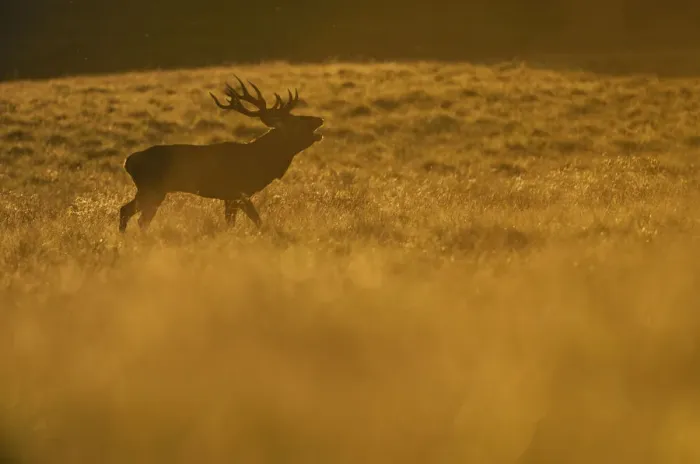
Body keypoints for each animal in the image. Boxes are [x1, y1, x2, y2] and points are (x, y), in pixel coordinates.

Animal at [118, 75, 324, 233]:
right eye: (296, 121)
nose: (319, 119)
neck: (260, 160)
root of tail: (128, 162)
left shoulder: (229, 196)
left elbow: (232, 222)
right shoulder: (238, 191)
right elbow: (256, 220)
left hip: (150, 190)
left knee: (129, 213)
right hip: (152, 189)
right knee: (136, 216)